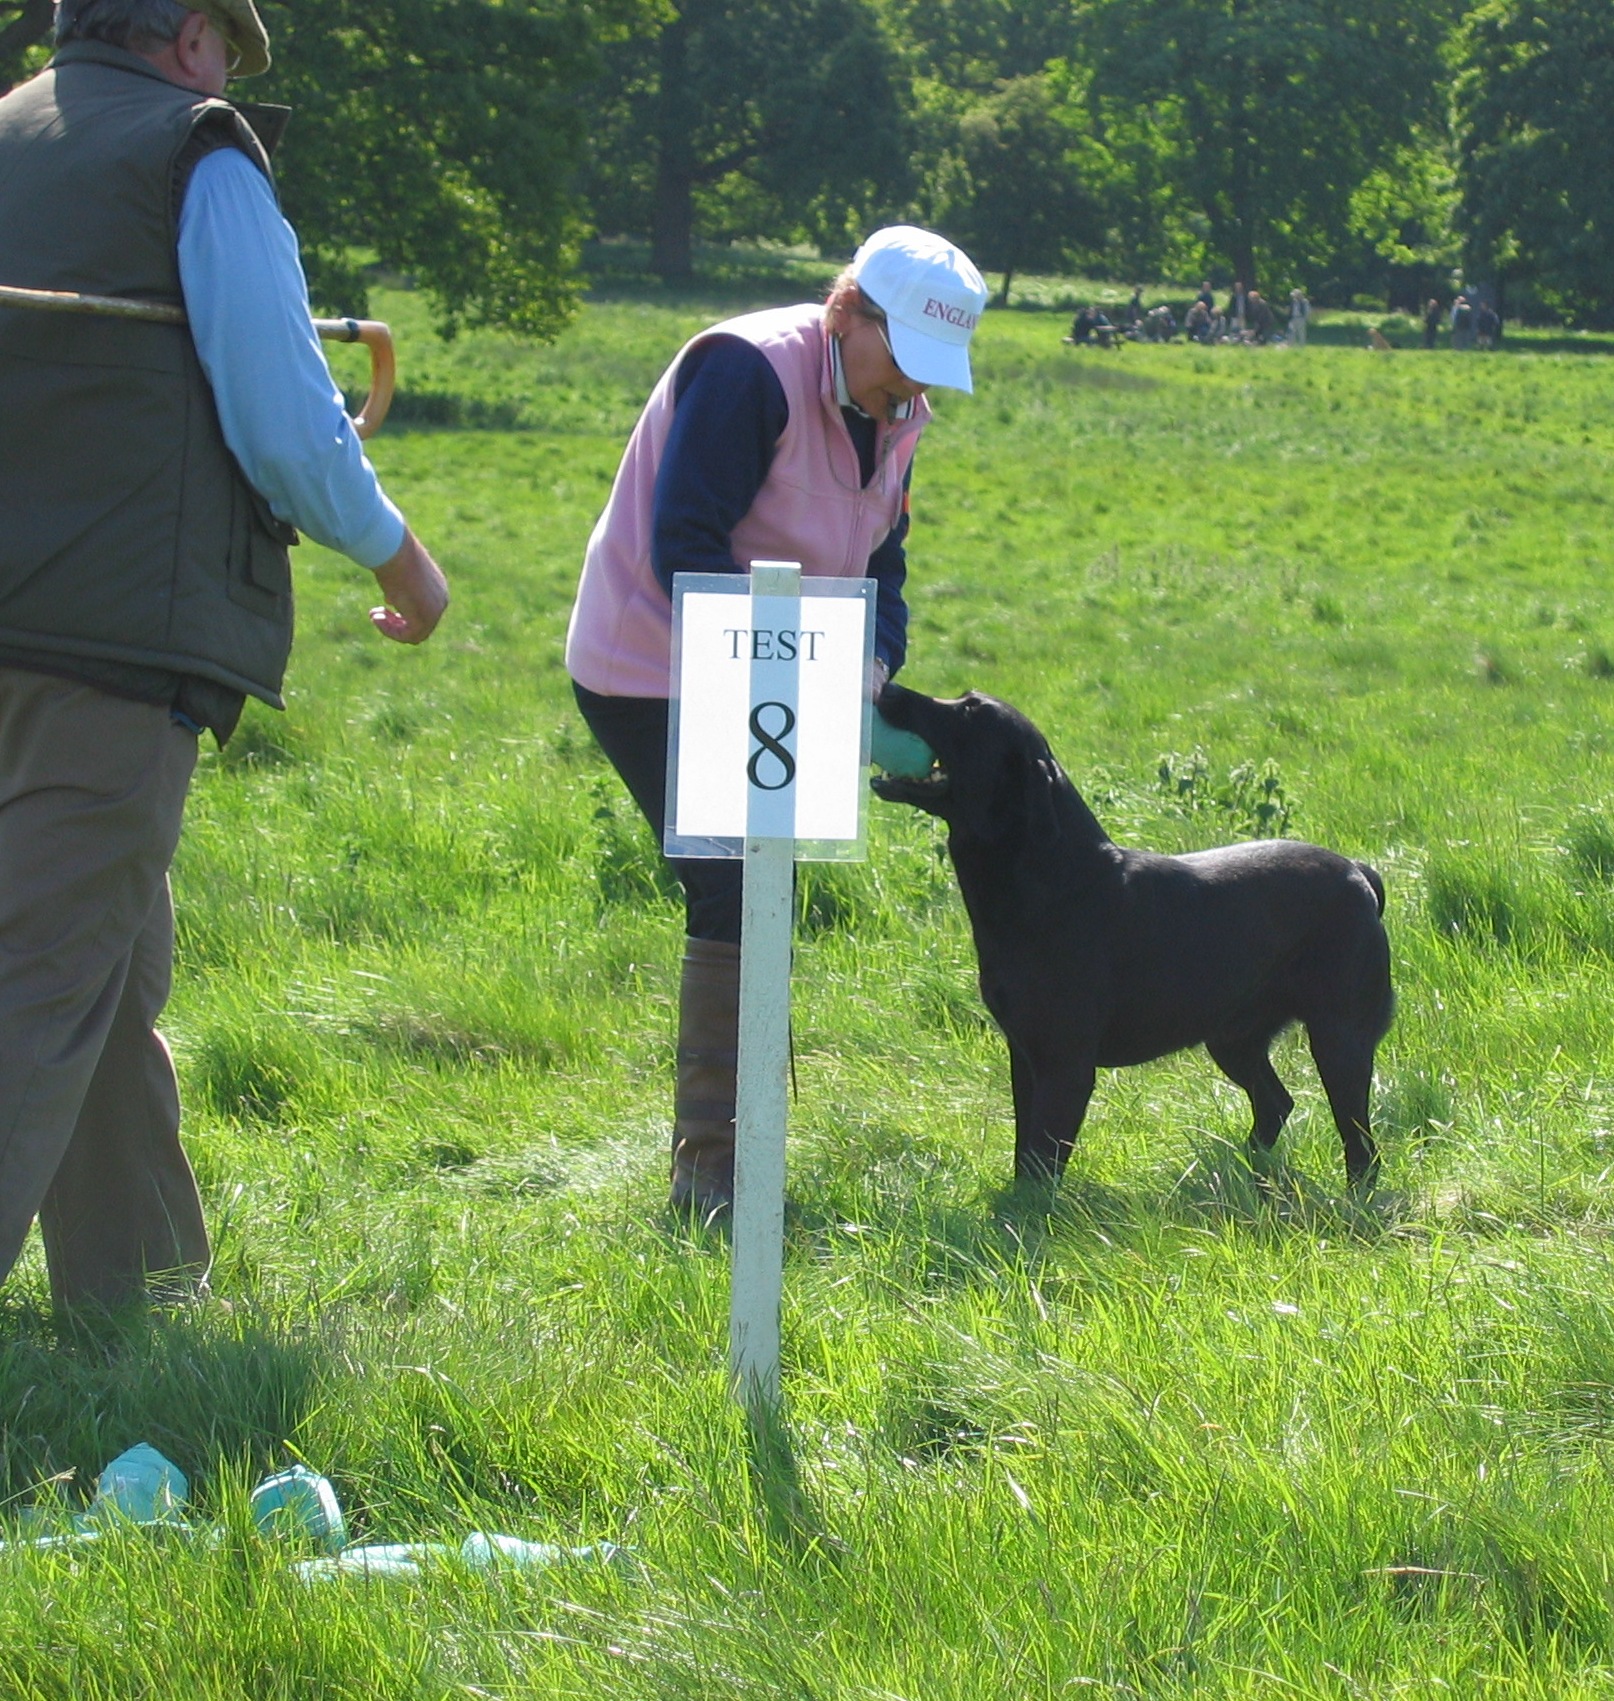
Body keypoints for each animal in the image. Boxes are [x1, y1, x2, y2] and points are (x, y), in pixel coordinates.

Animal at [877, 683, 1394, 1190]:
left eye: (969, 712)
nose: (888, 689)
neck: (1053, 879)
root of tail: (1358, 873)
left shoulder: (1065, 1065)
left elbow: (1042, 1160)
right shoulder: (1024, 1056)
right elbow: (1026, 1153)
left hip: (1339, 1038)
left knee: (1360, 1142)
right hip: (1233, 1038)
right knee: (1276, 1103)